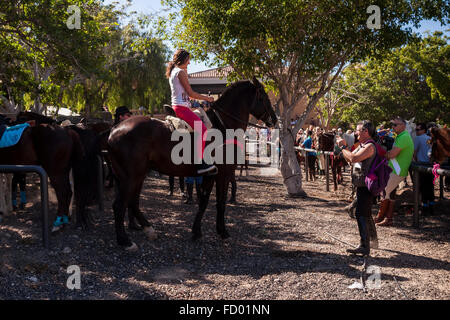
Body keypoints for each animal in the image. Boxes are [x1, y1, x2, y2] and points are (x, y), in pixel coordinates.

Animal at [108, 78, 278, 250]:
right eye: (263, 97)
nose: (275, 120)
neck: (223, 126)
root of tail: (114, 130)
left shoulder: (210, 175)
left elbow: (203, 202)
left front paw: (196, 231)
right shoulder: (222, 175)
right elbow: (220, 203)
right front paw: (223, 232)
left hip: (138, 175)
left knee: (133, 203)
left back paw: (149, 230)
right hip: (131, 177)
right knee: (120, 205)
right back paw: (125, 241)